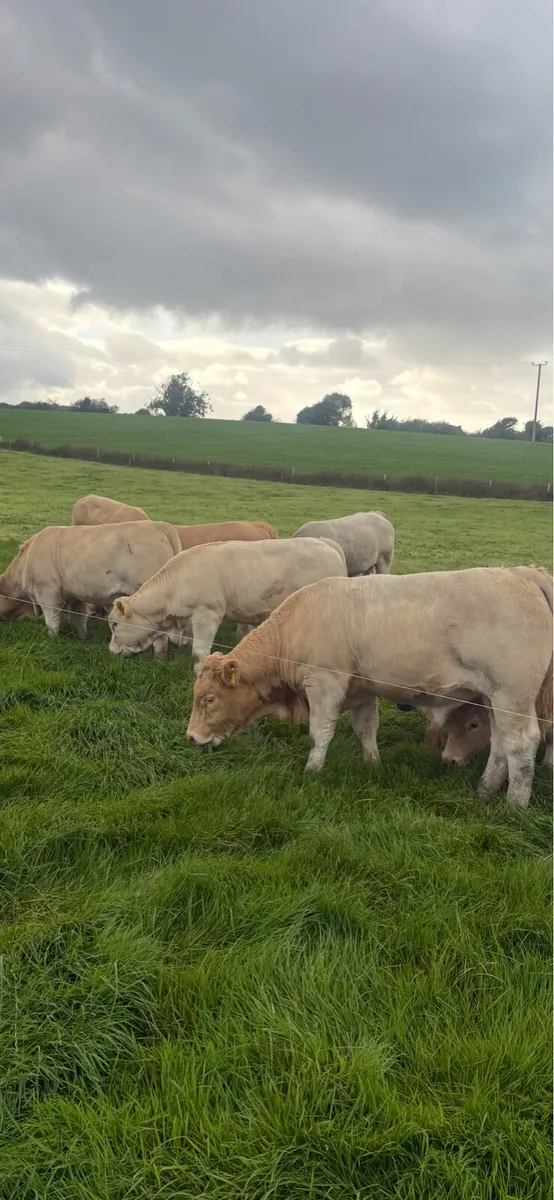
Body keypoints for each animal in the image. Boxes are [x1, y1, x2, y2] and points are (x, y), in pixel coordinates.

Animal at [0, 521, 182, 652]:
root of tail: (160, 525)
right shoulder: (75, 595)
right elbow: (80, 618)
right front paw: (83, 638)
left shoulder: (47, 593)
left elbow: (52, 620)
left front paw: (52, 639)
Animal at [186, 567, 553, 809]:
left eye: (209, 699)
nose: (191, 737)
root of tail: (524, 575)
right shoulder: (362, 691)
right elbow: (366, 730)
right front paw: (372, 764)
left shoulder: (325, 683)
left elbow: (320, 733)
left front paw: (312, 771)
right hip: (494, 700)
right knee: (499, 745)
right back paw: (484, 791)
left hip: (511, 696)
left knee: (520, 745)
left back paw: (514, 804)